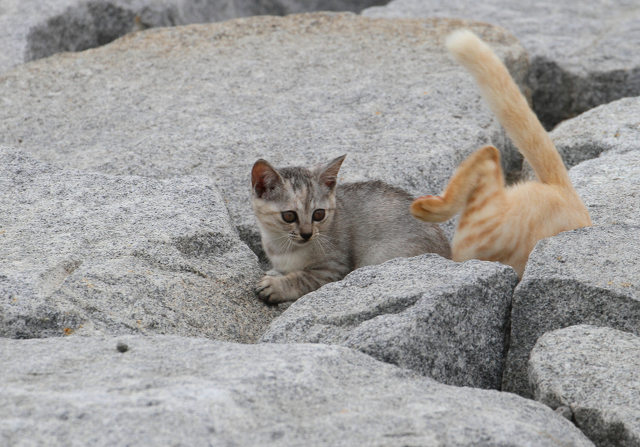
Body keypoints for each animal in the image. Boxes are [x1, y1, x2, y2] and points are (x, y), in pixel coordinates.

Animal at [250, 154, 450, 304]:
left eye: (319, 214)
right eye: (289, 216)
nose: (307, 234)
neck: (281, 247)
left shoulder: (334, 268)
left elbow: (303, 278)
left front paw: (276, 285)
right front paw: (275, 273)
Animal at [410, 30, 592, 276]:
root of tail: (565, 191)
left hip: (477, 238)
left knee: (488, 155)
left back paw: (425, 207)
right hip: (480, 233)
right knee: (489, 154)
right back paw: (425, 208)